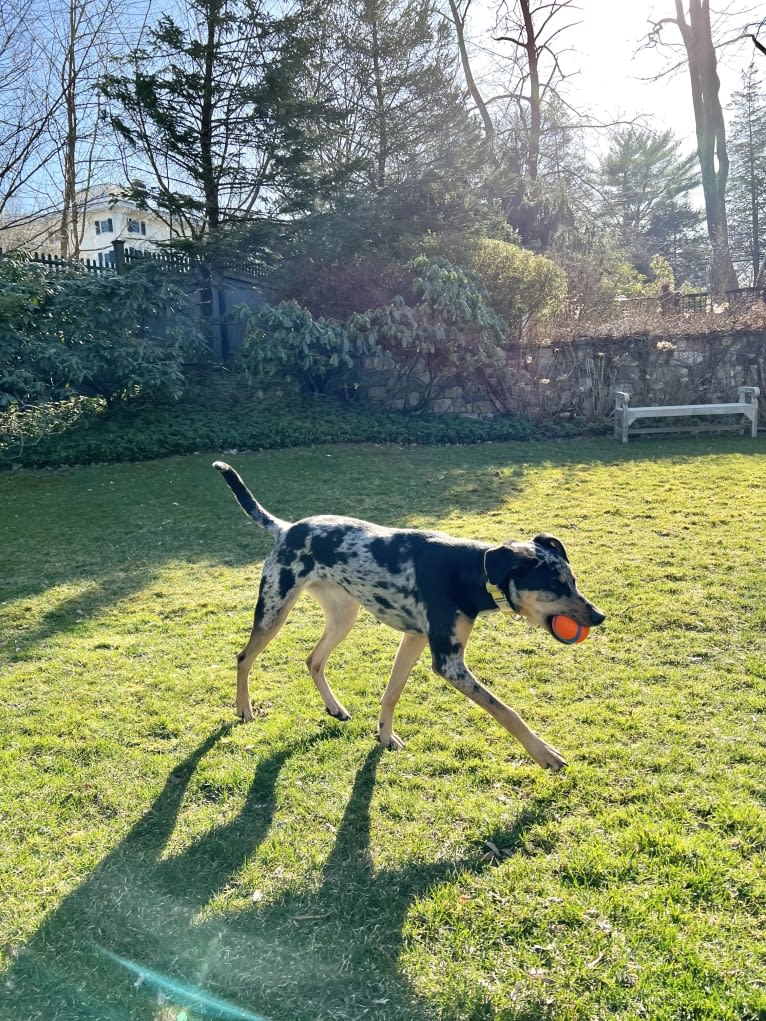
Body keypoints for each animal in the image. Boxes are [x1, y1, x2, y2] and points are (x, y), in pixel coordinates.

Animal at [211, 461, 604, 767]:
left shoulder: (414, 638)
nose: (599, 616)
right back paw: (244, 709)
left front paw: (385, 736)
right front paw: (544, 753)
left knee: (313, 659)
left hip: (343, 617)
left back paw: (335, 708)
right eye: (555, 585)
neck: (471, 572)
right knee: (244, 656)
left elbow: (392, 692)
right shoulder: (448, 663)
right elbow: (506, 710)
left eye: (573, 580)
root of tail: (287, 528)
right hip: (274, 610)